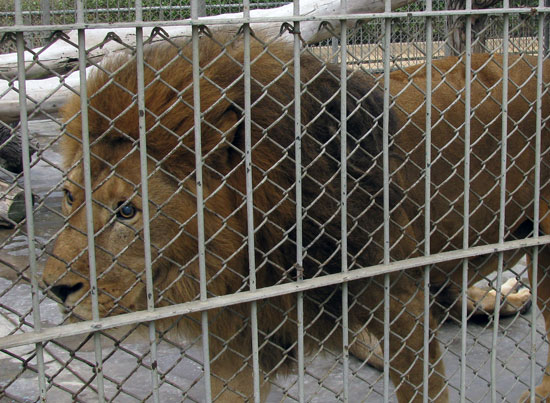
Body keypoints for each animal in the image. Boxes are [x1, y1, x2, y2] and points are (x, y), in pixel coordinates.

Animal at [42, 34, 550, 400]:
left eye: (126, 210)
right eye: (68, 197)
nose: (54, 289)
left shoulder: (399, 301)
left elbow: (425, 388)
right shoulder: (243, 340)